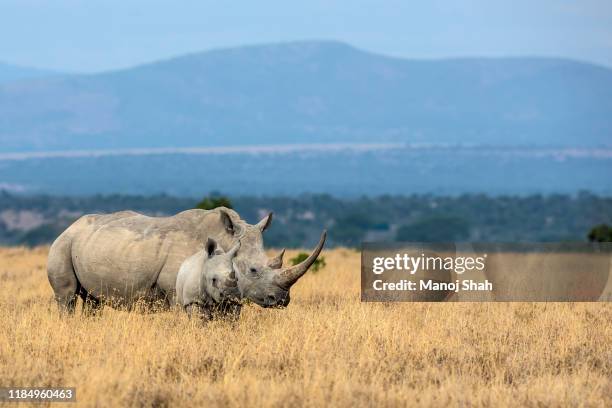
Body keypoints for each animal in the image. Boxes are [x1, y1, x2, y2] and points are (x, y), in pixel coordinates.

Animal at [48, 209, 328, 314]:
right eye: (253, 270)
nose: (282, 301)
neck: (227, 243)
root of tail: (70, 226)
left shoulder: (231, 291)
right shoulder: (177, 291)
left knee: (92, 300)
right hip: (62, 245)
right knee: (67, 297)